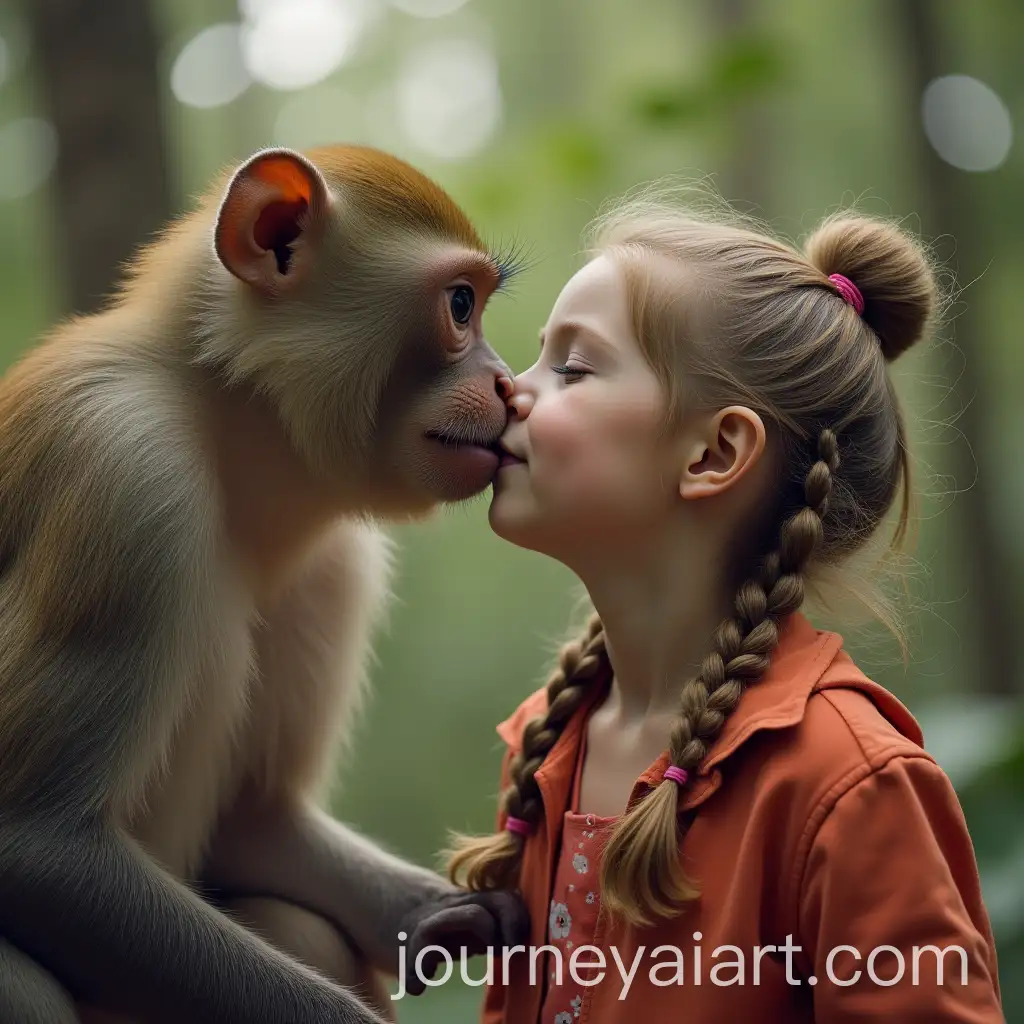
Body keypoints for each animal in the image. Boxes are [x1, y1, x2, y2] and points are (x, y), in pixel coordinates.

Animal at [0, 144, 529, 1024]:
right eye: (461, 305)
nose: (509, 385)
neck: (220, 418)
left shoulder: (335, 560)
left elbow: (252, 824)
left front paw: (447, 917)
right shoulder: (124, 477)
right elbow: (39, 848)